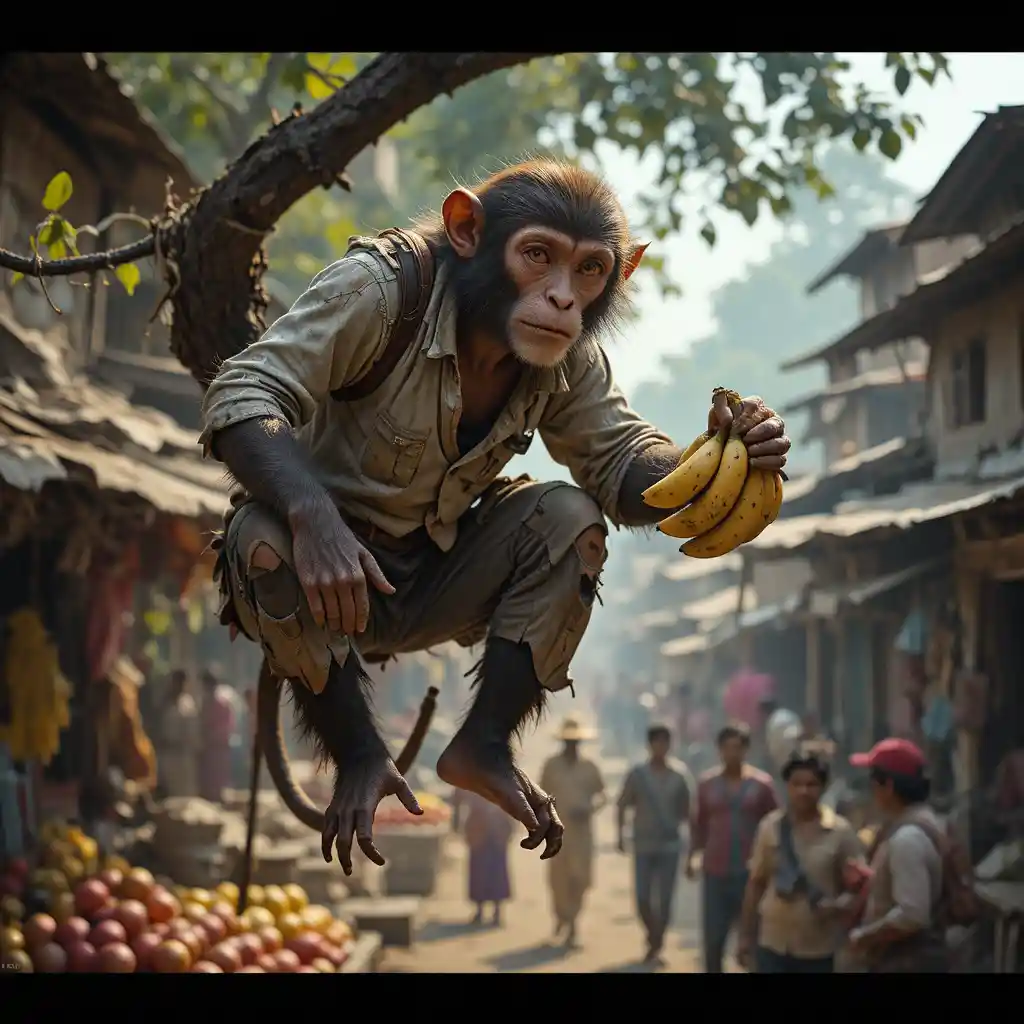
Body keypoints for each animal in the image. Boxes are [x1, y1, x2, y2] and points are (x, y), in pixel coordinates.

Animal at [199, 159, 791, 877]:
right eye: (537, 255)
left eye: (589, 267)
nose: (562, 301)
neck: (477, 331)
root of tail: (391, 639)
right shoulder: (361, 292)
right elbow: (255, 384)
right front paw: (329, 542)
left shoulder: (577, 359)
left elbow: (615, 462)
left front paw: (752, 429)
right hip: (366, 612)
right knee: (269, 545)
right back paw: (366, 762)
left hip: (441, 617)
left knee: (570, 522)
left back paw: (481, 762)